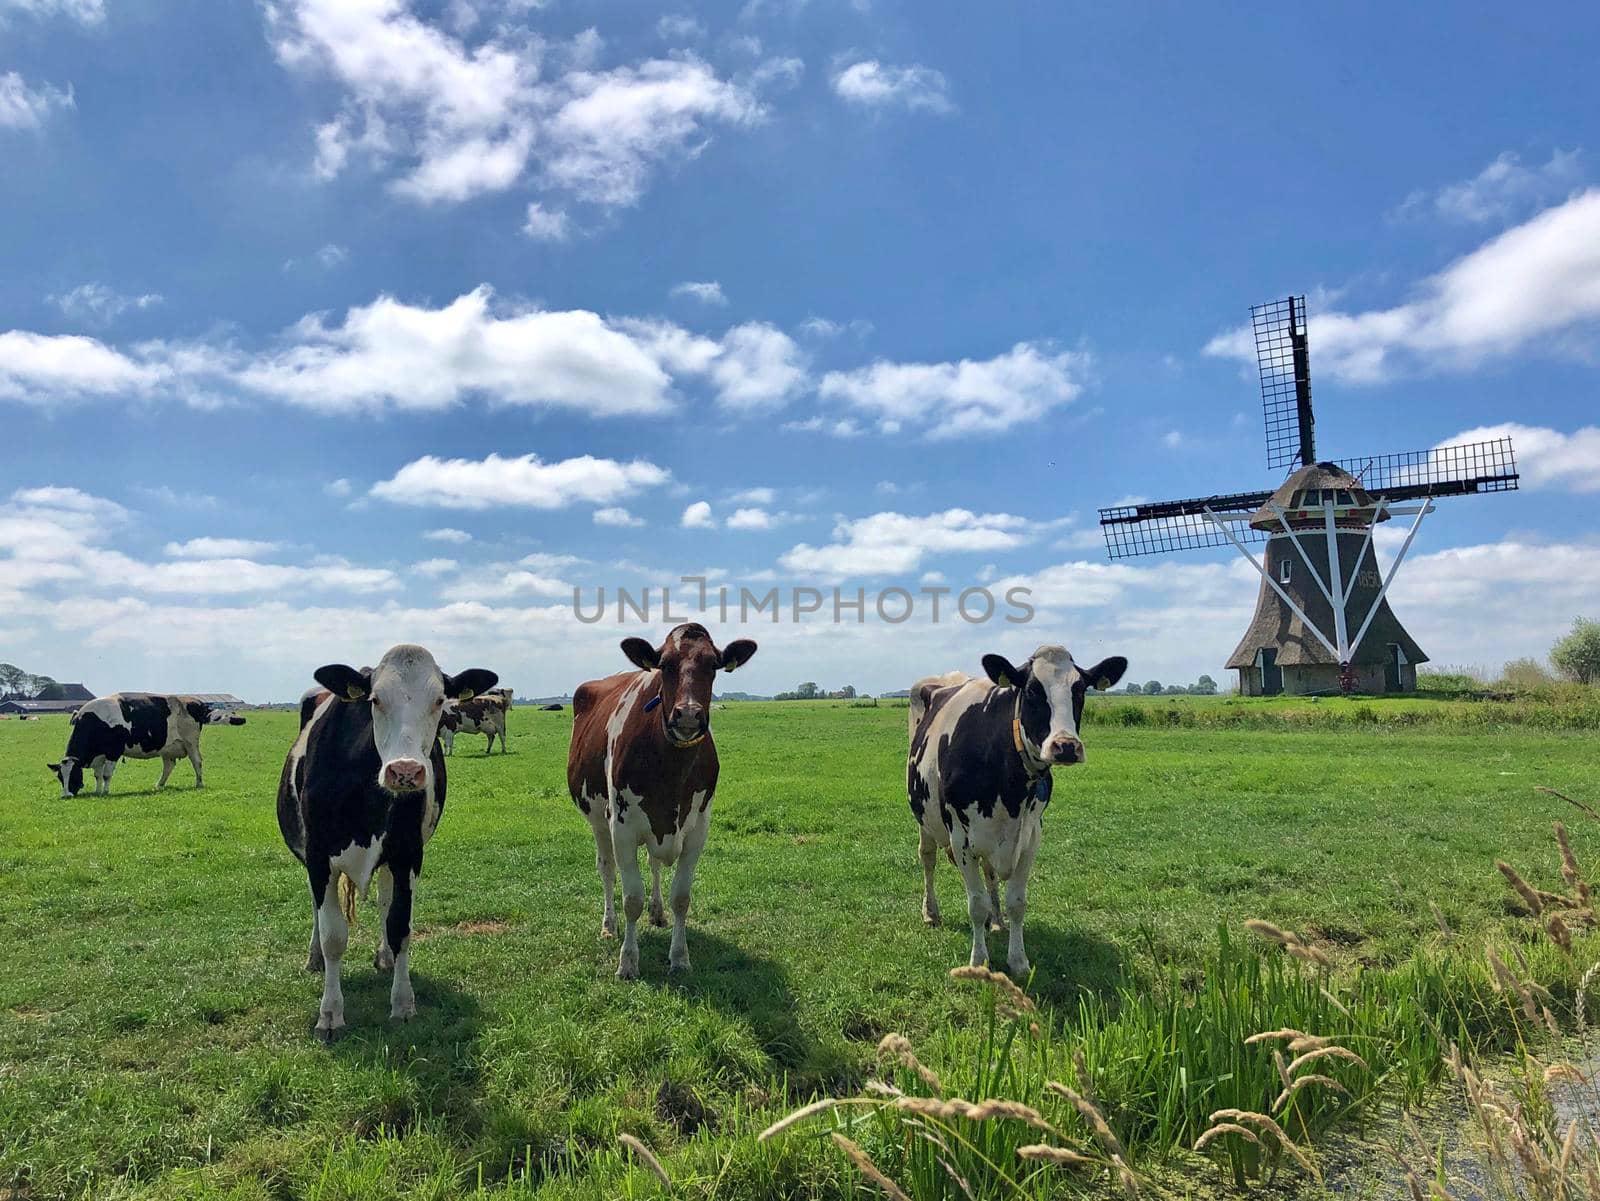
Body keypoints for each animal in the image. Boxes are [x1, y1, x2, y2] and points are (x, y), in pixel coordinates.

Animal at [46, 694, 244, 799]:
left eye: (73, 775)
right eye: (60, 777)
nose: (66, 795)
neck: (96, 720)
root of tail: (197, 702)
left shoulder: (113, 751)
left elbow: (106, 774)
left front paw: (105, 792)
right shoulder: (99, 755)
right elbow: (97, 775)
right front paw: (97, 790)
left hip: (191, 742)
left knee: (197, 762)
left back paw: (199, 783)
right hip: (168, 747)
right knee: (169, 766)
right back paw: (159, 785)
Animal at [275, 649, 496, 1042]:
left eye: (439, 700)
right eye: (375, 700)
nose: (405, 771)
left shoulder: (407, 855)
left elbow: (400, 925)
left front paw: (403, 1003)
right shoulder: (318, 858)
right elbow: (333, 936)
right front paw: (330, 1014)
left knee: (383, 902)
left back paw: (386, 957)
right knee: (317, 911)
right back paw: (315, 958)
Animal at [569, 623, 755, 978]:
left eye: (713, 666)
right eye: (665, 665)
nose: (689, 715)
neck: (671, 769)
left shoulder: (697, 829)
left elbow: (681, 897)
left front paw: (680, 957)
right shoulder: (622, 828)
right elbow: (631, 898)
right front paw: (628, 962)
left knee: (654, 863)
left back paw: (656, 912)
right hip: (598, 819)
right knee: (606, 868)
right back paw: (609, 925)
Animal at [908, 649, 1132, 978]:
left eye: (1080, 689)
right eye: (1031, 690)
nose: (1066, 746)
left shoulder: (1030, 836)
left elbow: (1017, 902)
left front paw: (1018, 960)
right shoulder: (961, 838)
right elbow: (975, 905)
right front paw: (978, 960)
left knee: (989, 871)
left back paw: (997, 920)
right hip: (926, 820)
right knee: (928, 858)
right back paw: (931, 912)